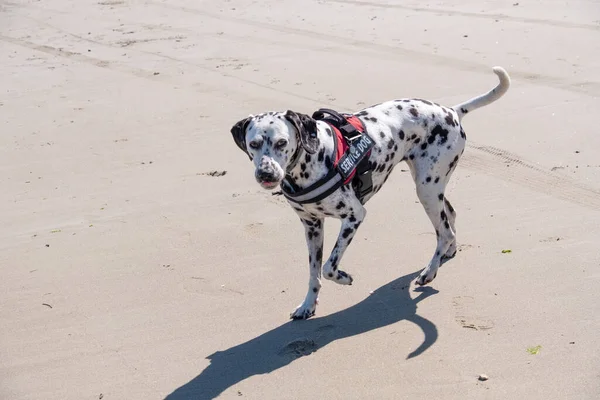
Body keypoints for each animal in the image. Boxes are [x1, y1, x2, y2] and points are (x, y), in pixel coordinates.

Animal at [230, 67, 510, 320]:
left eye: (282, 142)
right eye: (254, 144)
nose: (266, 174)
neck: (313, 160)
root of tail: (451, 111)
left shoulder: (354, 215)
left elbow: (329, 267)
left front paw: (344, 277)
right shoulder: (312, 226)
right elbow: (314, 273)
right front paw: (308, 305)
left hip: (427, 190)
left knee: (444, 231)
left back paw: (430, 270)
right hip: (432, 187)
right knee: (450, 215)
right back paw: (448, 253)